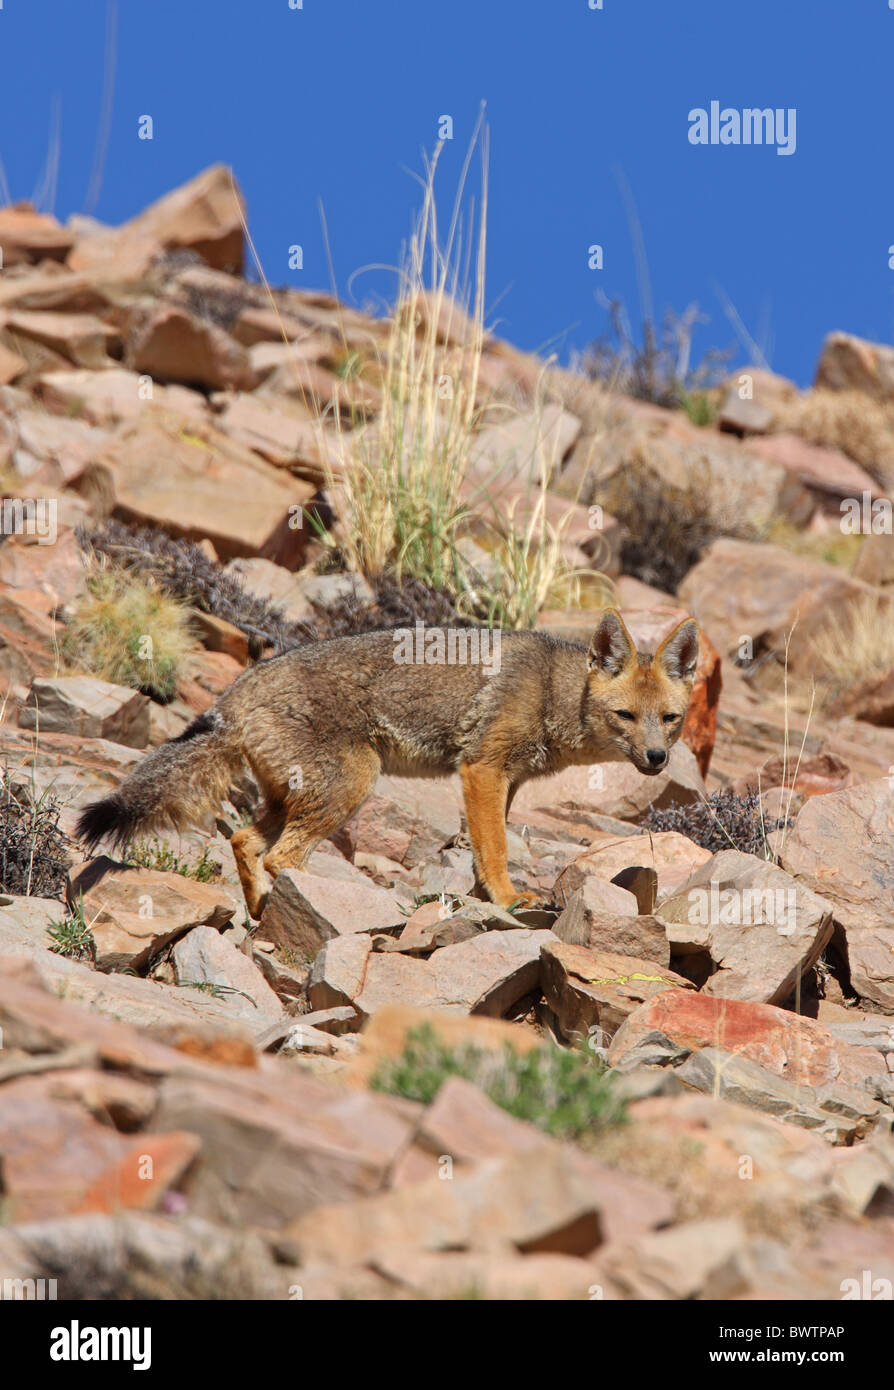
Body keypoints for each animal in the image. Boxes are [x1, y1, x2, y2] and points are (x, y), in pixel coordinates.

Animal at [76, 608, 699, 916]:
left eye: (670, 719)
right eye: (624, 715)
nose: (657, 758)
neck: (553, 691)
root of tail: (235, 692)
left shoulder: (508, 780)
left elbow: (484, 847)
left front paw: (481, 901)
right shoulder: (482, 770)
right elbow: (495, 848)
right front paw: (507, 899)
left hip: (298, 797)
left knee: (246, 843)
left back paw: (258, 915)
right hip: (352, 785)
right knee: (281, 857)